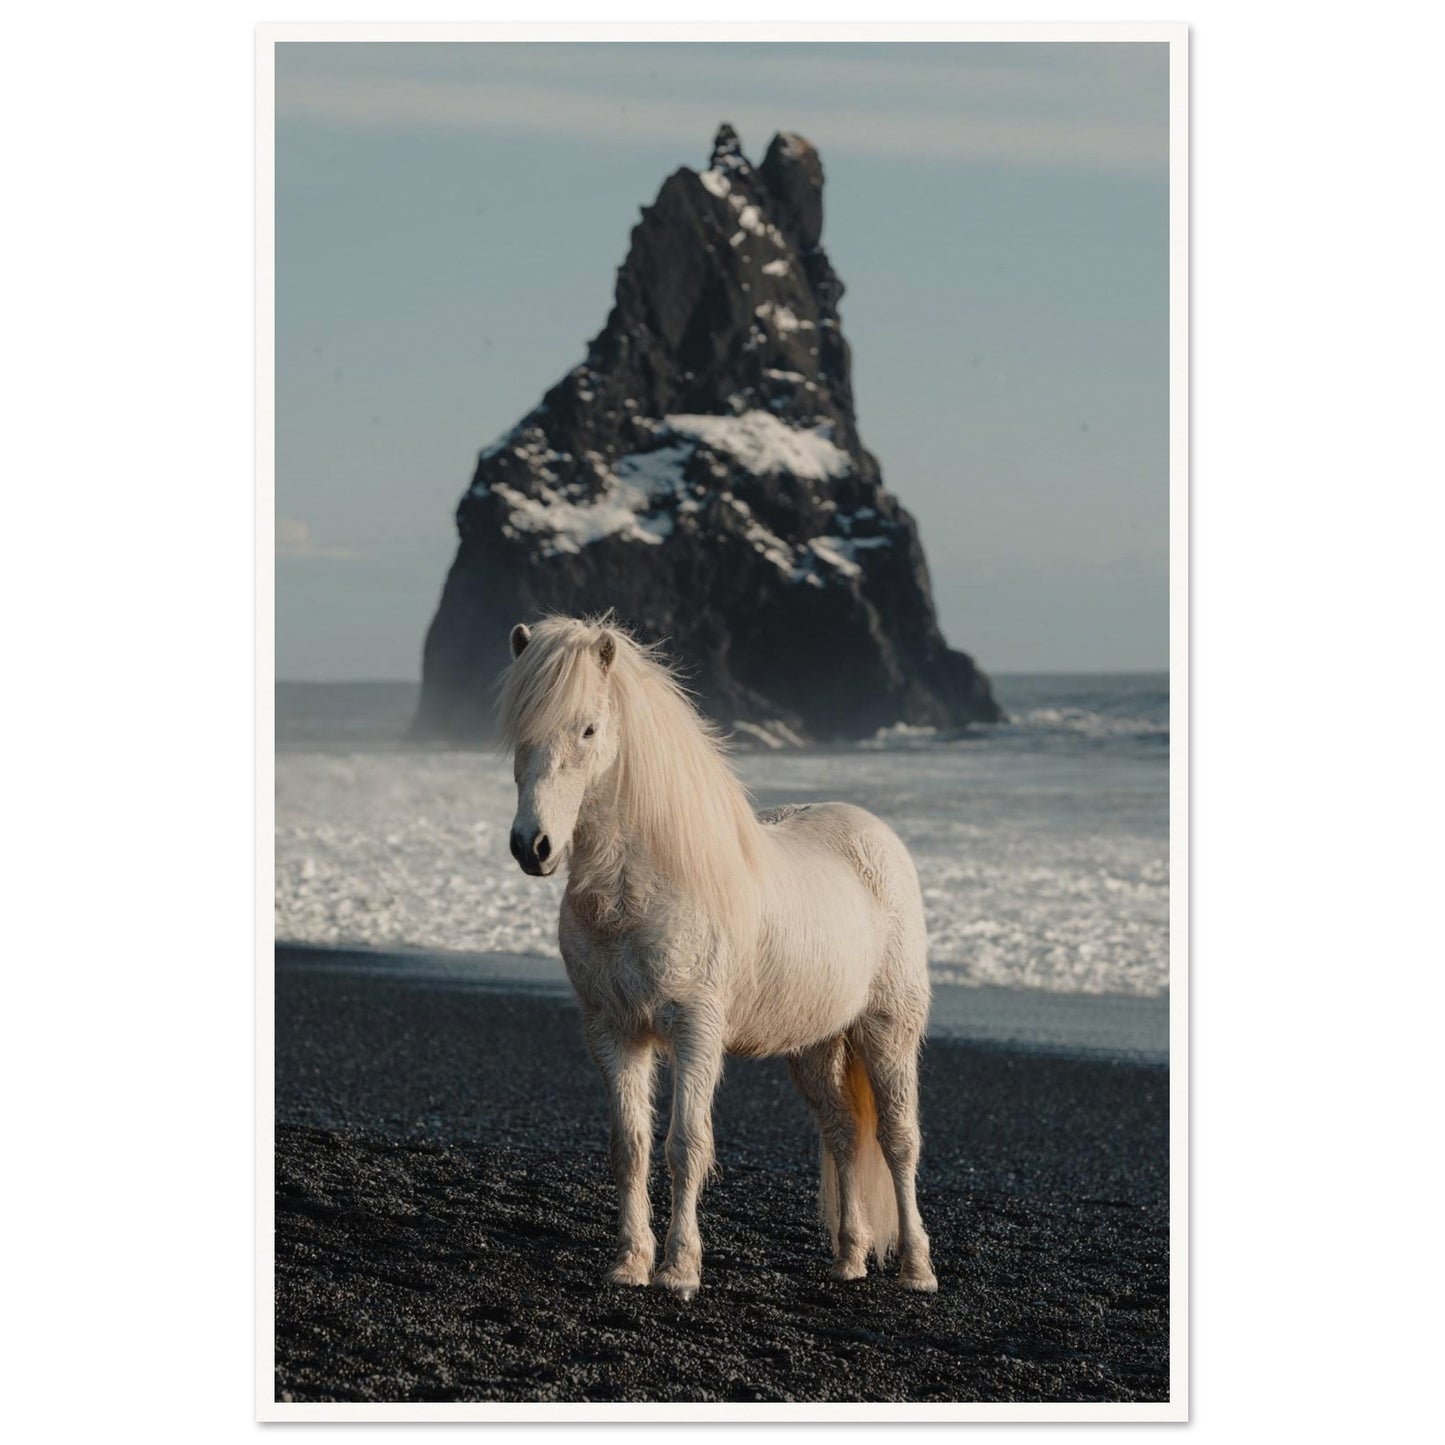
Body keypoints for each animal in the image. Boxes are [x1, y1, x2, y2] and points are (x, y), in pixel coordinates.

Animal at [498, 615, 937, 1299]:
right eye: (520, 730)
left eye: (588, 729)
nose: (533, 846)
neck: (644, 888)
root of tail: (875, 835)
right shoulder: (613, 1032)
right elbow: (631, 1146)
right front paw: (630, 1264)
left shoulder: (695, 1030)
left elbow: (685, 1145)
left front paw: (679, 1270)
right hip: (814, 1045)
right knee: (842, 1132)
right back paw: (849, 1258)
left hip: (887, 1029)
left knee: (897, 1141)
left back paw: (917, 1270)